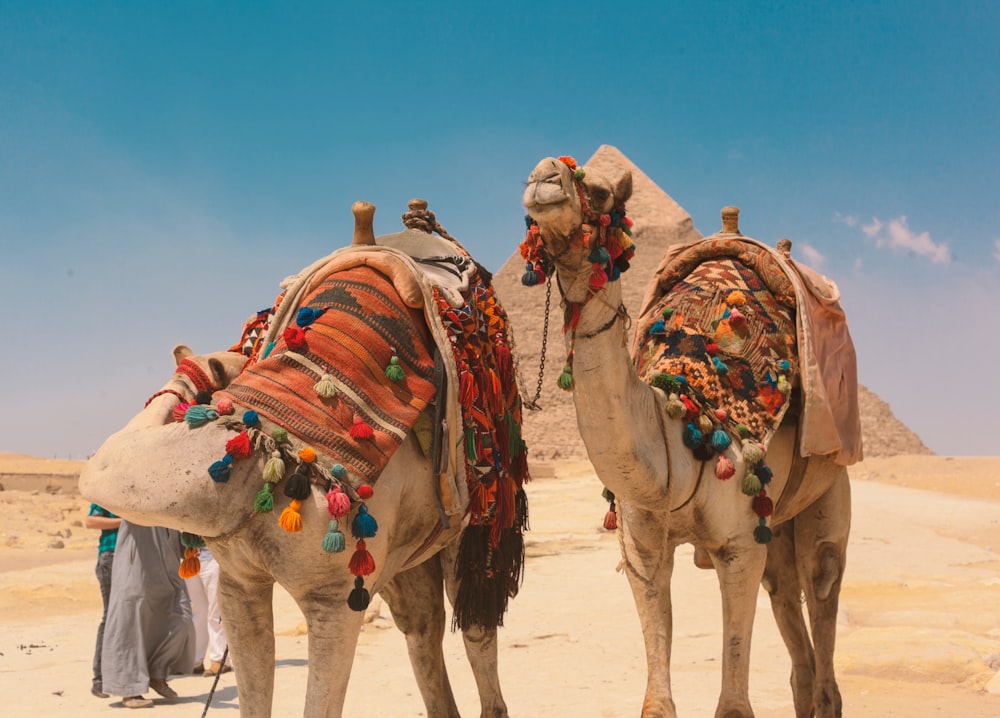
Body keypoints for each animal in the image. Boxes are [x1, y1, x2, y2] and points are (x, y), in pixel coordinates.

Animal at [81, 202, 528, 718]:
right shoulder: (239, 584)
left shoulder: (334, 598)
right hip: (406, 548)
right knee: (421, 625)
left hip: (477, 516)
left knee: (474, 619)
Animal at [524, 158, 860, 718]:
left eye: (600, 191)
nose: (543, 177)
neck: (682, 429)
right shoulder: (643, 546)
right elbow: (657, 703)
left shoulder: (738, 546)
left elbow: (734, 705)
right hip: (775, 522)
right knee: (786, 596)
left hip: (830, 481)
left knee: (822, 577)